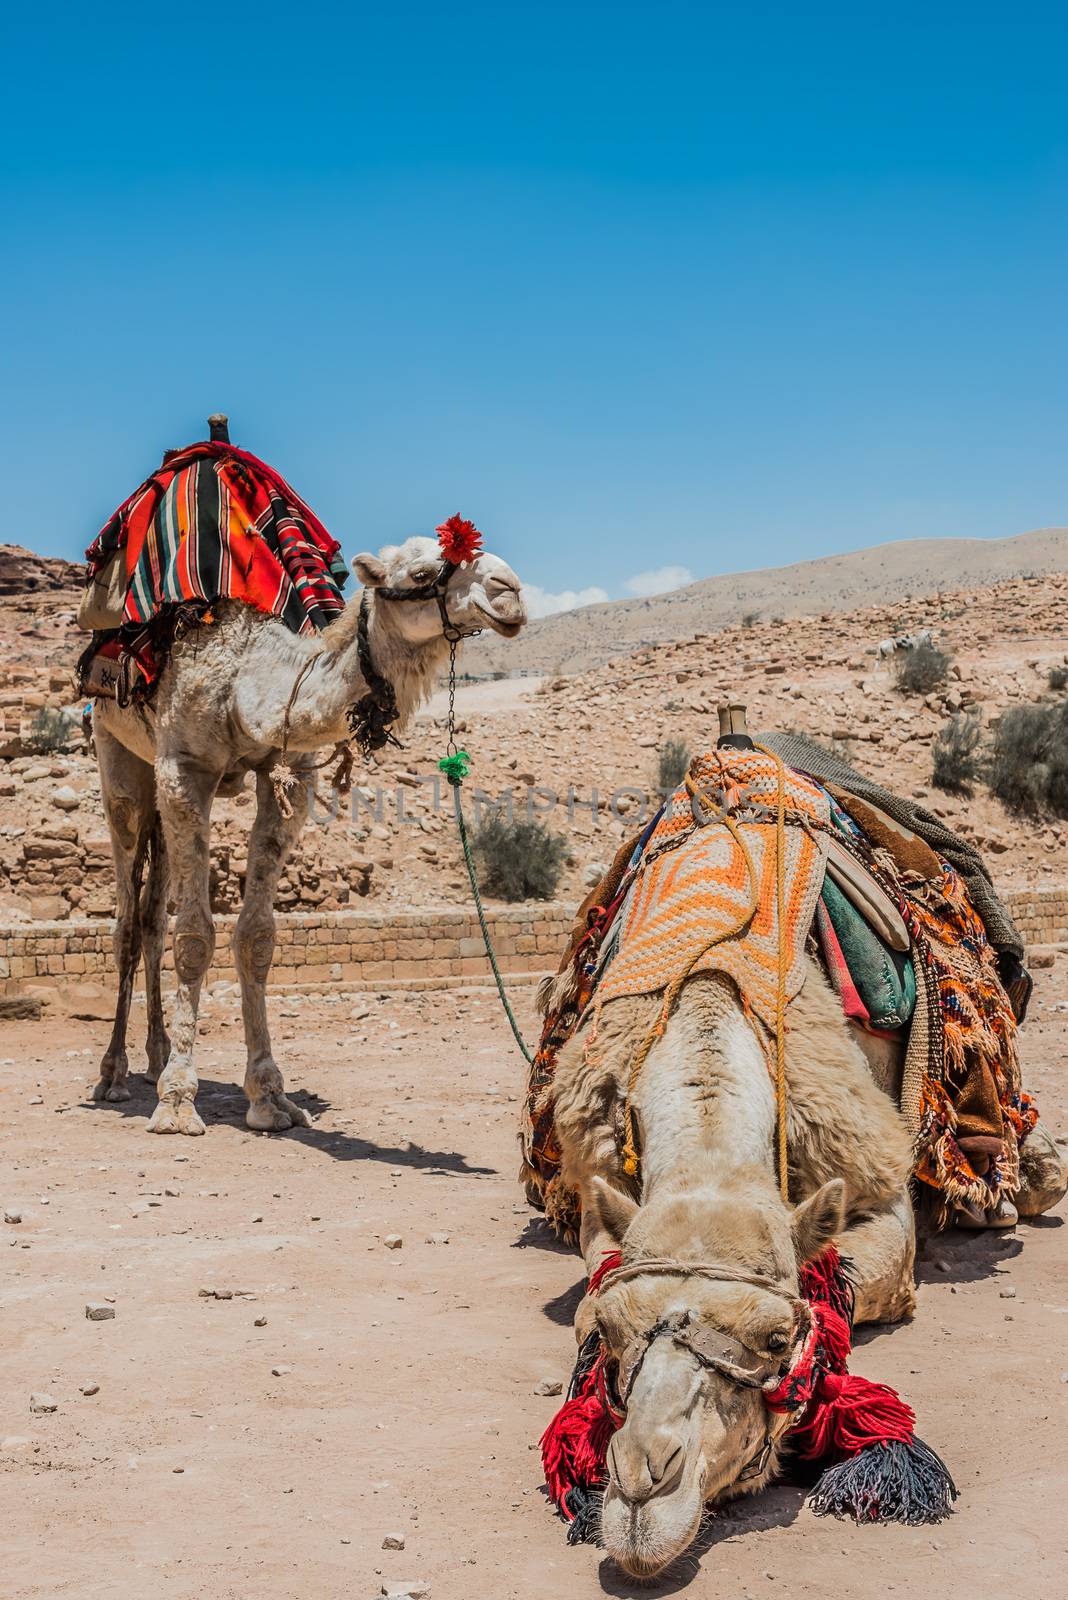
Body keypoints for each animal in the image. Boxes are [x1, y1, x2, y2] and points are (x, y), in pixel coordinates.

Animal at [91, 540, 524, 1139]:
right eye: (422, 573)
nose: (511, 593)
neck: (247, 683)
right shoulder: (184, 770)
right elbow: (195, 936)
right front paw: (177, 1104)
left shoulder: (291, 775)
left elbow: (256, 937)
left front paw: (270, 1099)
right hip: (117, 754)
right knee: (129, 922)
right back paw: (114, 1075)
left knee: (153, 921)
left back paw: (156, 1056)